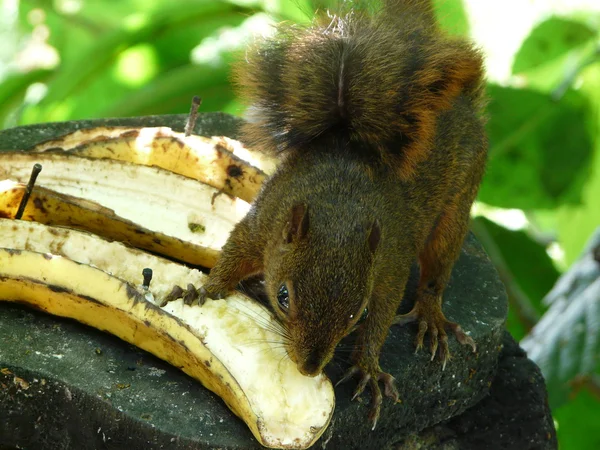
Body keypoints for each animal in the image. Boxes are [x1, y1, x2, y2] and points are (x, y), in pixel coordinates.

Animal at [197, 0, 488, 428]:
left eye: (356, 314)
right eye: (282, 297)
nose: (310, 368)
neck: (339, 208)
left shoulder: (390, 261)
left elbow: (383, 313)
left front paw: (368, 366)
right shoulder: (265, 220)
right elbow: (234, 250)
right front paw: (207, 287)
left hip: (461, 196)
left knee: (438, 268)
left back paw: (432, 315)